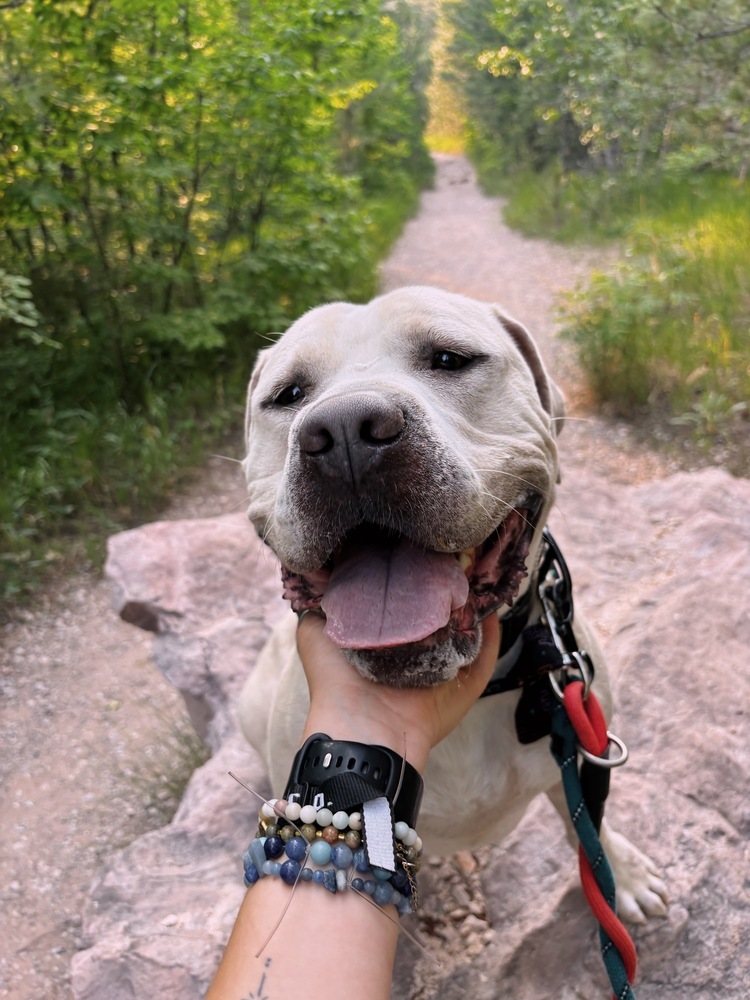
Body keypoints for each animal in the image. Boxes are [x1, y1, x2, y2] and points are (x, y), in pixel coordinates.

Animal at [239, 284, 668, 920]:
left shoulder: (580, 757)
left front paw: (622, 874)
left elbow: (586, 825)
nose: (345, 431)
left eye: (449, 358)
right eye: (288, 394)